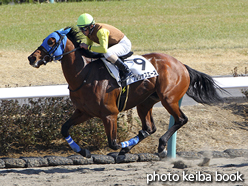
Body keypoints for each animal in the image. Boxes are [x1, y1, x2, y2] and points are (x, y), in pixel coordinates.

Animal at [27, 26, 225, 159]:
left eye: (51, 41)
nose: (31, 57)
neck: (83, 74)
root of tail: (181, 65)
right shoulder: (84, 112)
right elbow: (64, 128)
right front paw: (83, 151)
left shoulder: (110, 114)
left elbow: (113, 143)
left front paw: (119, 147)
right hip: (145, 102)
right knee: (149, 128)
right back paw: (132, 147)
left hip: (169, 98)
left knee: (181, 119)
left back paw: (161, 146)